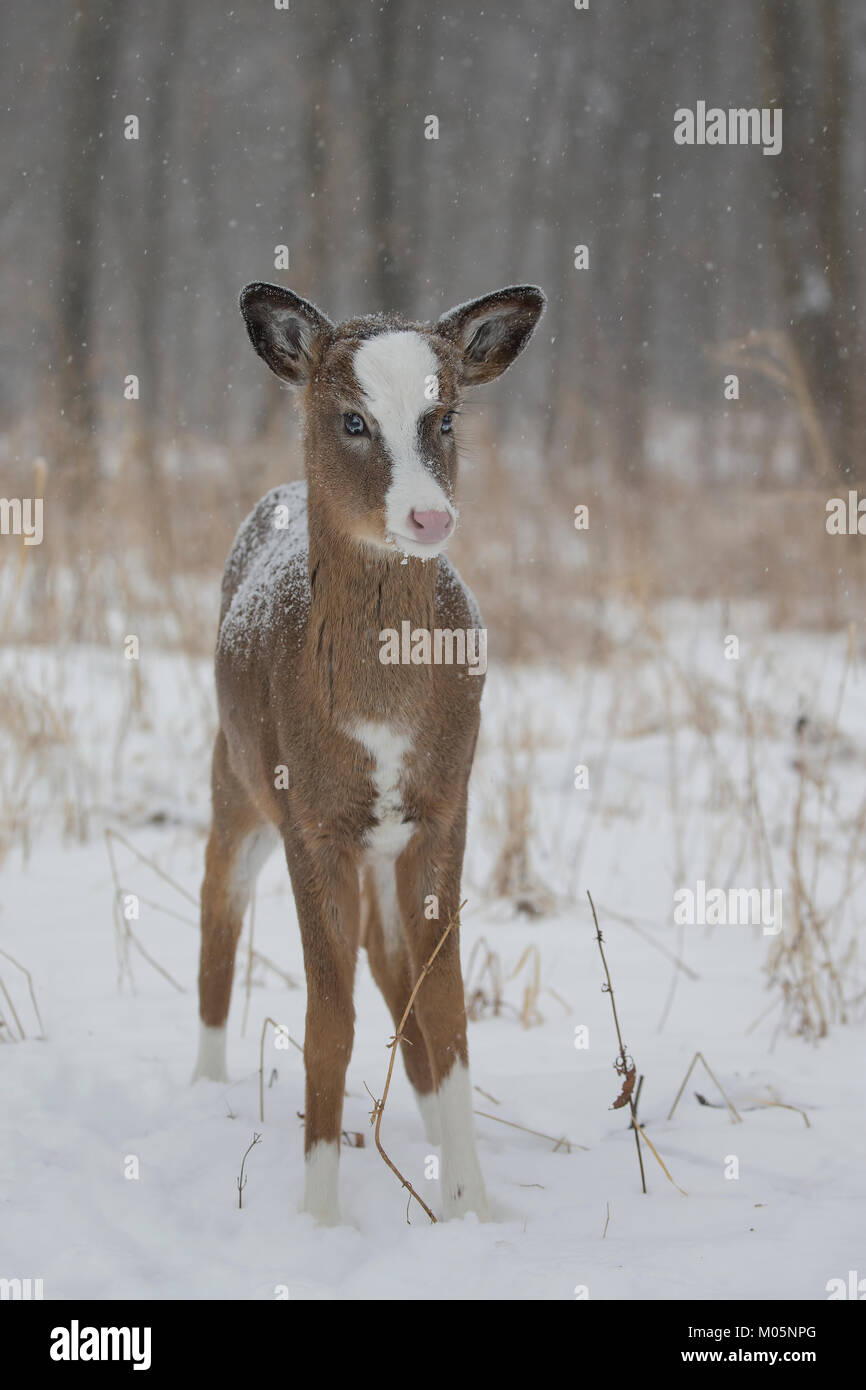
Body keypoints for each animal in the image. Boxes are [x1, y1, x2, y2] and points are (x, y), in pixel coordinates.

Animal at [193, 280, 546, 1224]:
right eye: (351, 419)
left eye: (447, 415)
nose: (430, 515)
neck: (383, 703)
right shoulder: (312, 819)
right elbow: (328, 1020)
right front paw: (320, 1215)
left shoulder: (446, 805)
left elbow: (447, 1008)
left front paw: (473, 1207)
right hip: (236, 774)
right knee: (218, 906)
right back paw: (207, 1086)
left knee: (393, 969)